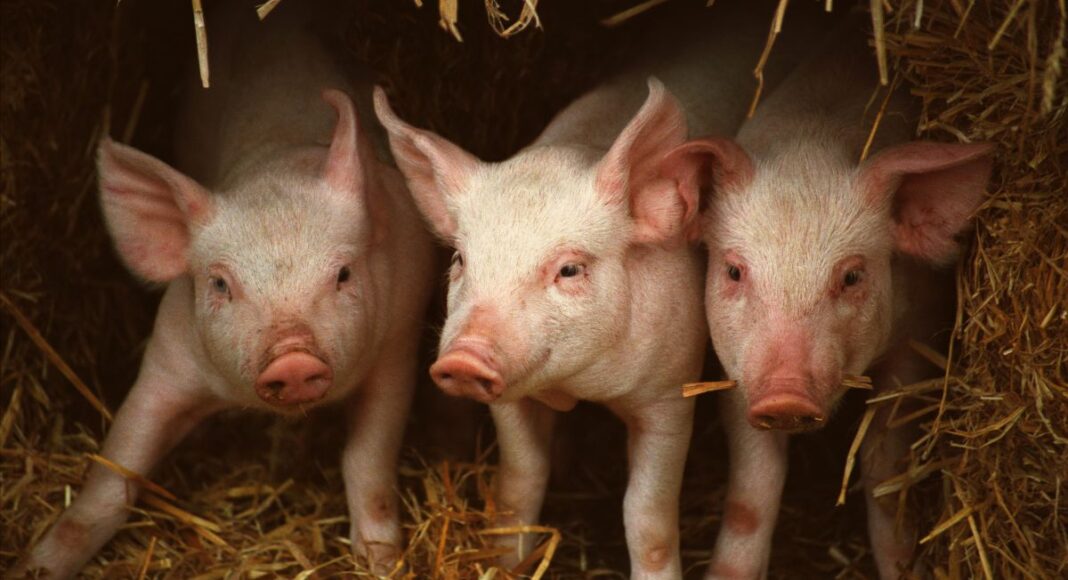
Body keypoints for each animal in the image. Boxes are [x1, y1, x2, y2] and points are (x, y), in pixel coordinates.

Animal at [10, 3, 434, 578]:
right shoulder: (170, 355)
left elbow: (367, 466)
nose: (292, 357)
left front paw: (384, 562)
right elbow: (109, 479)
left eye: (343, 274)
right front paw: (34, 566)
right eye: (220, 283)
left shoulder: (396, 346)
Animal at [371, 2, 833, 576]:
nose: (462, 359)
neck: (582, 386)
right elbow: (520, 482)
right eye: (461, 260)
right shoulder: (511, 400)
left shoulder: (671, 393)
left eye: (569, 269)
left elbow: (646, 513)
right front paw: (506, 561)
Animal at [665, 22, 994, 580]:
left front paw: (903, 564)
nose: (785, 397)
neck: (811, 150)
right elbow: (753, 489)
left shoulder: (914, 337)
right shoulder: (738, 368)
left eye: (852, 276)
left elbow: (884, 470)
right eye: (734, 271)